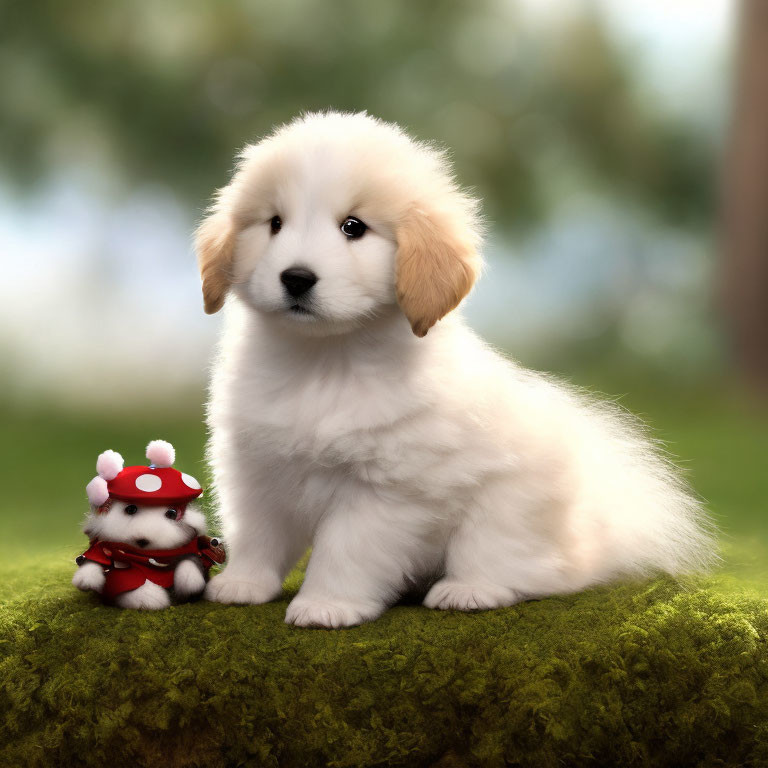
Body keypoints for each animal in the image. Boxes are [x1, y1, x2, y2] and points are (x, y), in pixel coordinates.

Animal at [195, 114, 716, 632]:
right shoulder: (254, 470)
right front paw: (242, 584)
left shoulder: (386, 490)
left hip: (502, 516)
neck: (323, 362)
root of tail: (596, 534)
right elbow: (257, 534)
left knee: (532, 572)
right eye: (275, 224)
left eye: (353, 227)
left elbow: (345, 550)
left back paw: (467, 591)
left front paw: (326, 604)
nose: (296, 278)